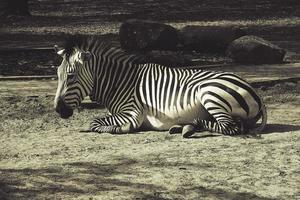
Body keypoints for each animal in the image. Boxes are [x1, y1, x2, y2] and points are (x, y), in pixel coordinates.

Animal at [54, 34, 268, 138]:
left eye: (70, 76)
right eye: (57, 75)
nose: (57, 109)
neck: (119, 81)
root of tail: (254, 91)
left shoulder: (132, 112)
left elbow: (95, 122)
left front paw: (118, 129)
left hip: (209, 93)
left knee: (230, 127)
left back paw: (190, 126)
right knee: (235, 125)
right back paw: (184, 127)